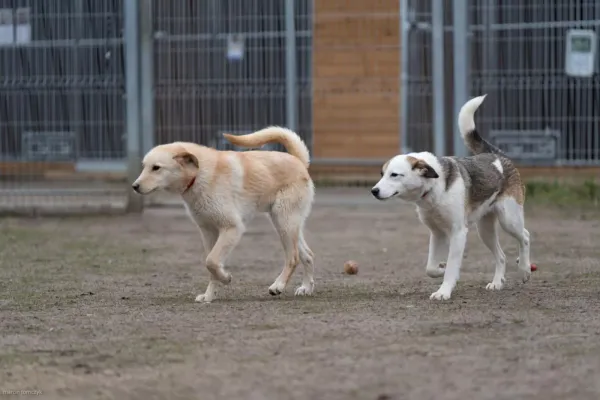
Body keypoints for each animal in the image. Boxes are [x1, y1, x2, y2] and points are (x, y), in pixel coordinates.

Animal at [133, 128, 316, 304]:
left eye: (156, 167)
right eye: (144, 166)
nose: (135, 186)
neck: (199, 174)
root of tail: (298, 160)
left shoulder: (232, 228)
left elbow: (212, 261)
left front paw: (226, 278)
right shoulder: (208, 231)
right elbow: (210, 264)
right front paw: (209, 296)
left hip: (283, 222)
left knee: (293, 257)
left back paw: (278, 286)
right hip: (287, 224)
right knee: (307, 255)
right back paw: (306, 288)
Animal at [372, 94, 532, 300]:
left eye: (394, 175)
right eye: (382, 174)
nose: (374, 191)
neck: (434, 188)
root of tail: (496, 155)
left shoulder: (458, 233)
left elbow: (451, 268)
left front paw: (443, 291)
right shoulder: (437, 233)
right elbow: (430, 268)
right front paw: (441, 268)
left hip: (508, 219)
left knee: (525, 236)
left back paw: (524, 269)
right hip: (485, 230)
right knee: (502, 256)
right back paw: (497, 282)